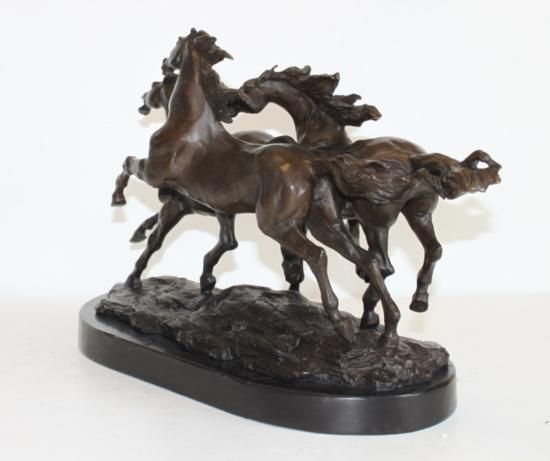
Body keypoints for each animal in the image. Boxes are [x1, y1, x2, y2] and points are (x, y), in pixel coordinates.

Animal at [236, 65, 501, 327]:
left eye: (247, 87)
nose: (233, 102)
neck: (320, 137)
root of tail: (415, 160)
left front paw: (294, 279)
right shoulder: (348, 216)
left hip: (377, 223)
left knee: (385, 264)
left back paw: (371, 314)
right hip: (419, 214)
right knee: (433, 250)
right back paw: (417, 301)